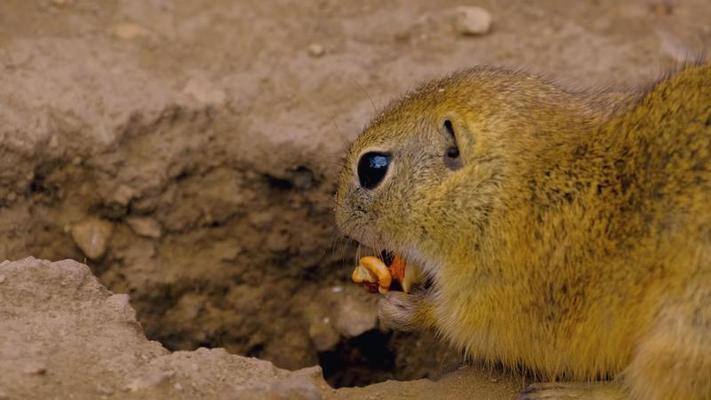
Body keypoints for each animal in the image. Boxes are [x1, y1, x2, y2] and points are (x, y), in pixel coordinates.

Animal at [336, 64, 711, 398]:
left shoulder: (499, 297)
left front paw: (404, 309)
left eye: (372, 168)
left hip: (674, 344)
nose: (340, 221)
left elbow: (459, 324)